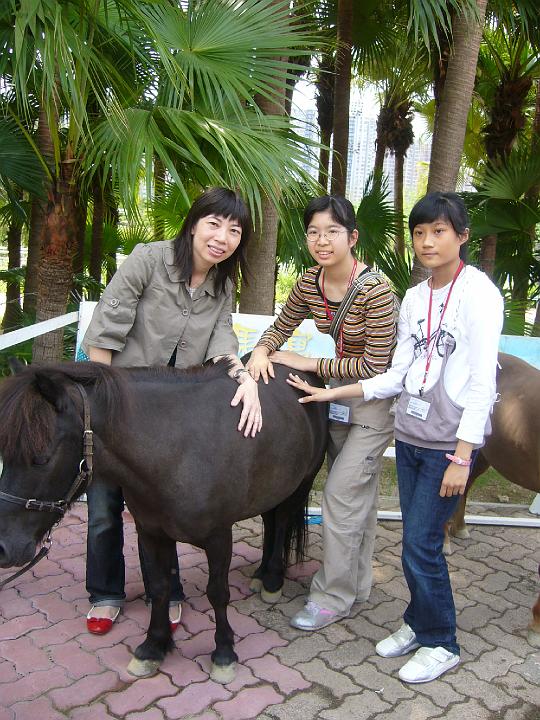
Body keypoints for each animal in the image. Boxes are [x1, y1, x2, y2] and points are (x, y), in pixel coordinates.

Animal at [0, 359, 328, 681]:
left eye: (41, 458)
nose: (3, 548)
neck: (176, 451)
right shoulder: (152, 532)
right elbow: (159, 587)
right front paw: (153, 647)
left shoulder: (219, 538)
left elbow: (217, 593)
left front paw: (224, 653)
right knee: (271, 521)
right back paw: (261, 574)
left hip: (300, 483)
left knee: (281, 522)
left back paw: (272, 579)